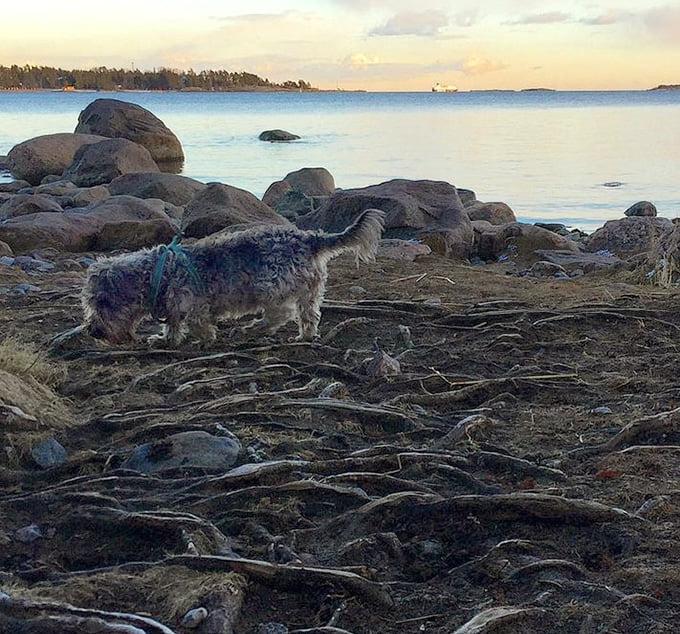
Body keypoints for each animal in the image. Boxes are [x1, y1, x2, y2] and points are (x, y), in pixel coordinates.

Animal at [81, 207, 382, 346]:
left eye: (103, 303)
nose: (93, 331)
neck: (157, 274)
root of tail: (309, 238)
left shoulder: (192, 304)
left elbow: (196, 323)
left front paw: (204, 338)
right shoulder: (175, 307)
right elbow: (173, 326)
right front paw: (166, 340)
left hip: (269, 285)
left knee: (281, 314)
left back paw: (253, 328)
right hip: (310, 291)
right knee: (309, 316)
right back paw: (304, 337)